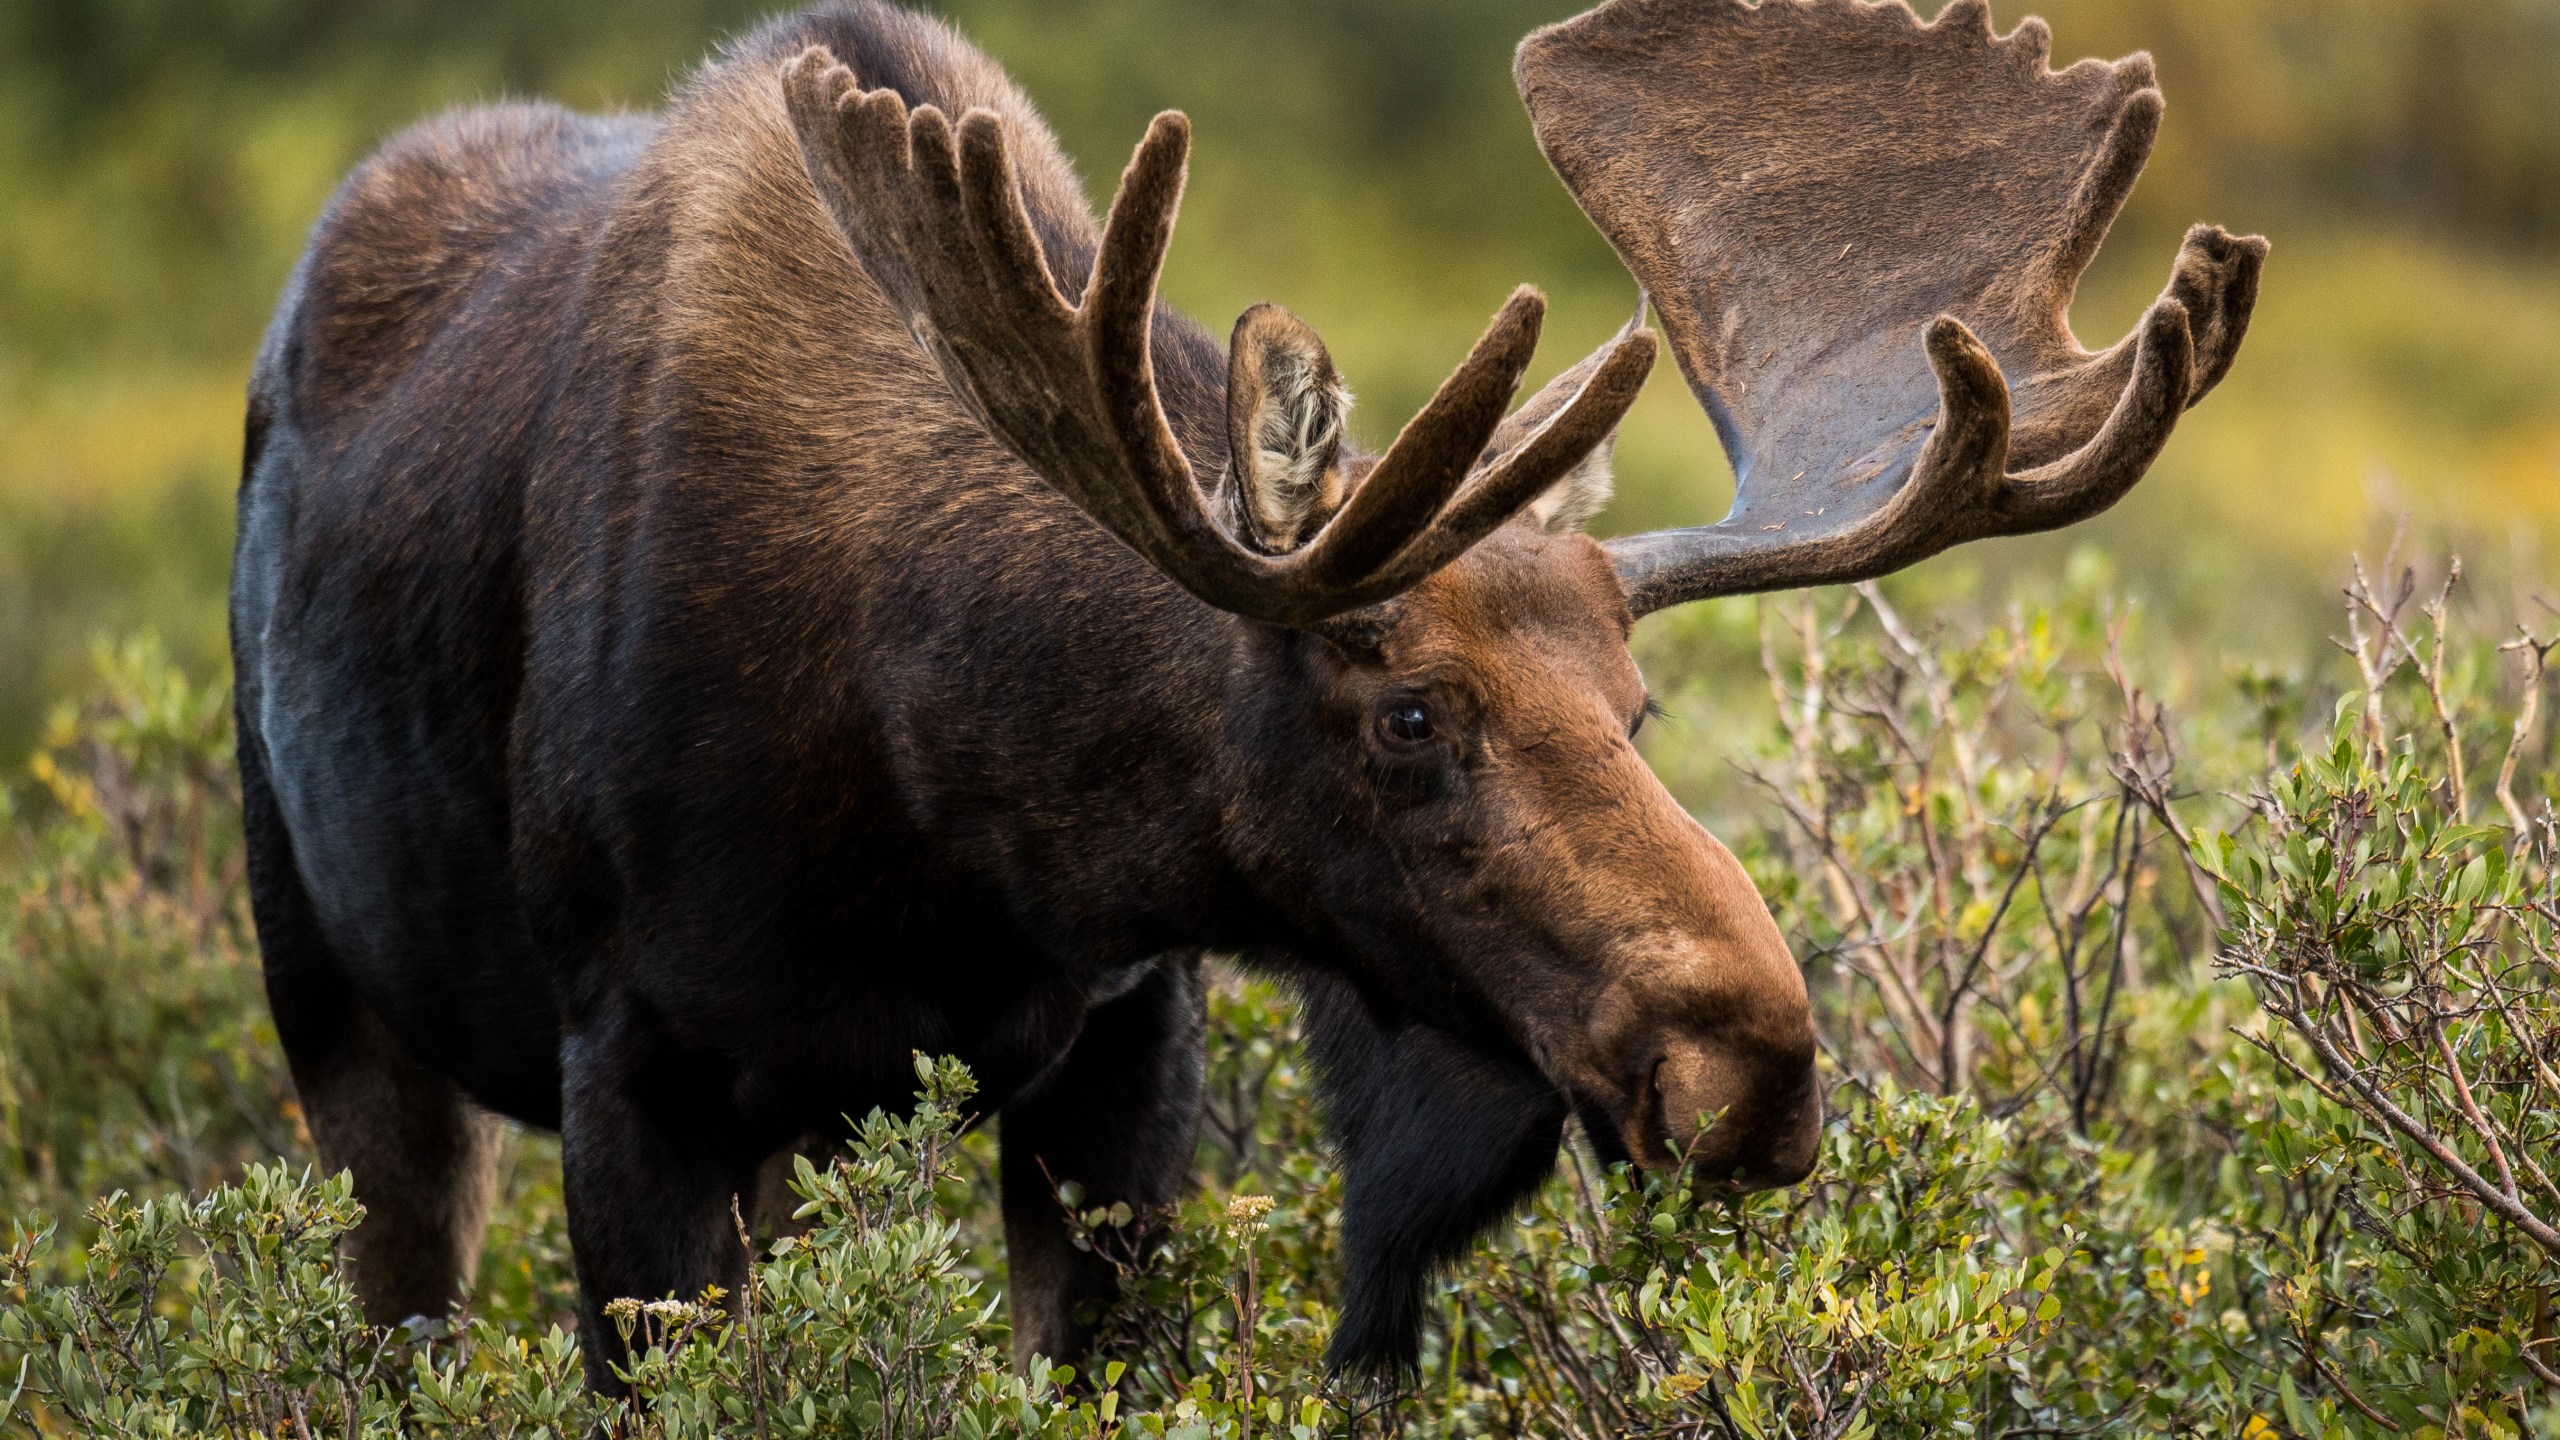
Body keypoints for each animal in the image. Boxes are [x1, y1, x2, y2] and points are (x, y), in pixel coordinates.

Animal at [225, 0, 2263, 1383]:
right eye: (1412, 716)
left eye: (1641, 710)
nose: (1752, 1062)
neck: (943, 804)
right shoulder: (635, 1068)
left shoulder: (1125, 1035)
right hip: (335, 1002)